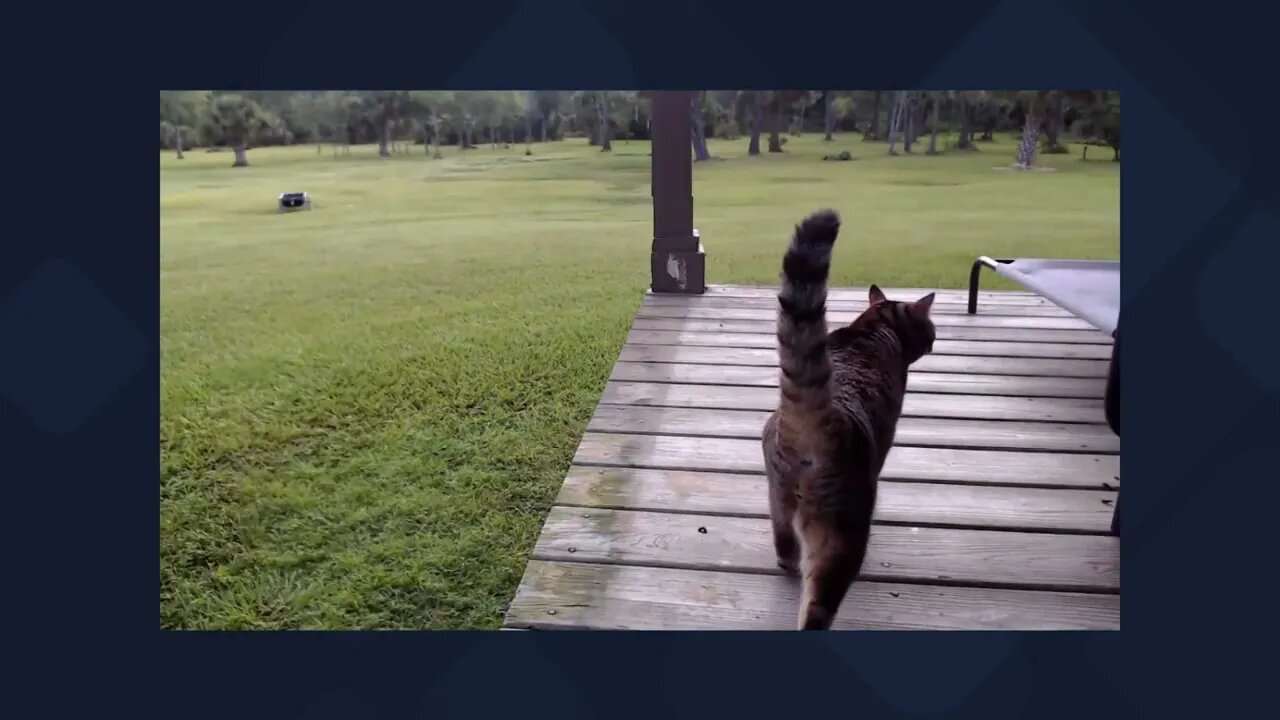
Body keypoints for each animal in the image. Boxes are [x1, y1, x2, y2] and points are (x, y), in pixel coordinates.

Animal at [757, 207, 942, 627]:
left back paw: (786, 561)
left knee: (783, 543)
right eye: (930, 328)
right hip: (843, 528)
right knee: (818, 603)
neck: (874, 327)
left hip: (777, 494)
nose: (934, 340)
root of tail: (810, 414)